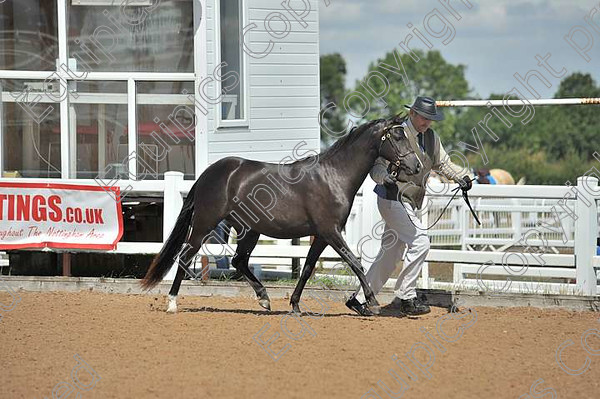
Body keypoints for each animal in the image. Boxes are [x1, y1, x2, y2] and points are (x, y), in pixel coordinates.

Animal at [142, 115, 422, 316]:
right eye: (398, 136)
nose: (417, 166)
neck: (333, 176)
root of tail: (208, 174)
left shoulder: (321, 236)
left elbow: (307, 269)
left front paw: (295, 305)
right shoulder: (331, 232)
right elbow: (355, 263)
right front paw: (372, 303)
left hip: (249, 231)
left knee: (239, 261)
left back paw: (264, 299)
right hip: (203, 225)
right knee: (184, 257)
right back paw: (172, 303)